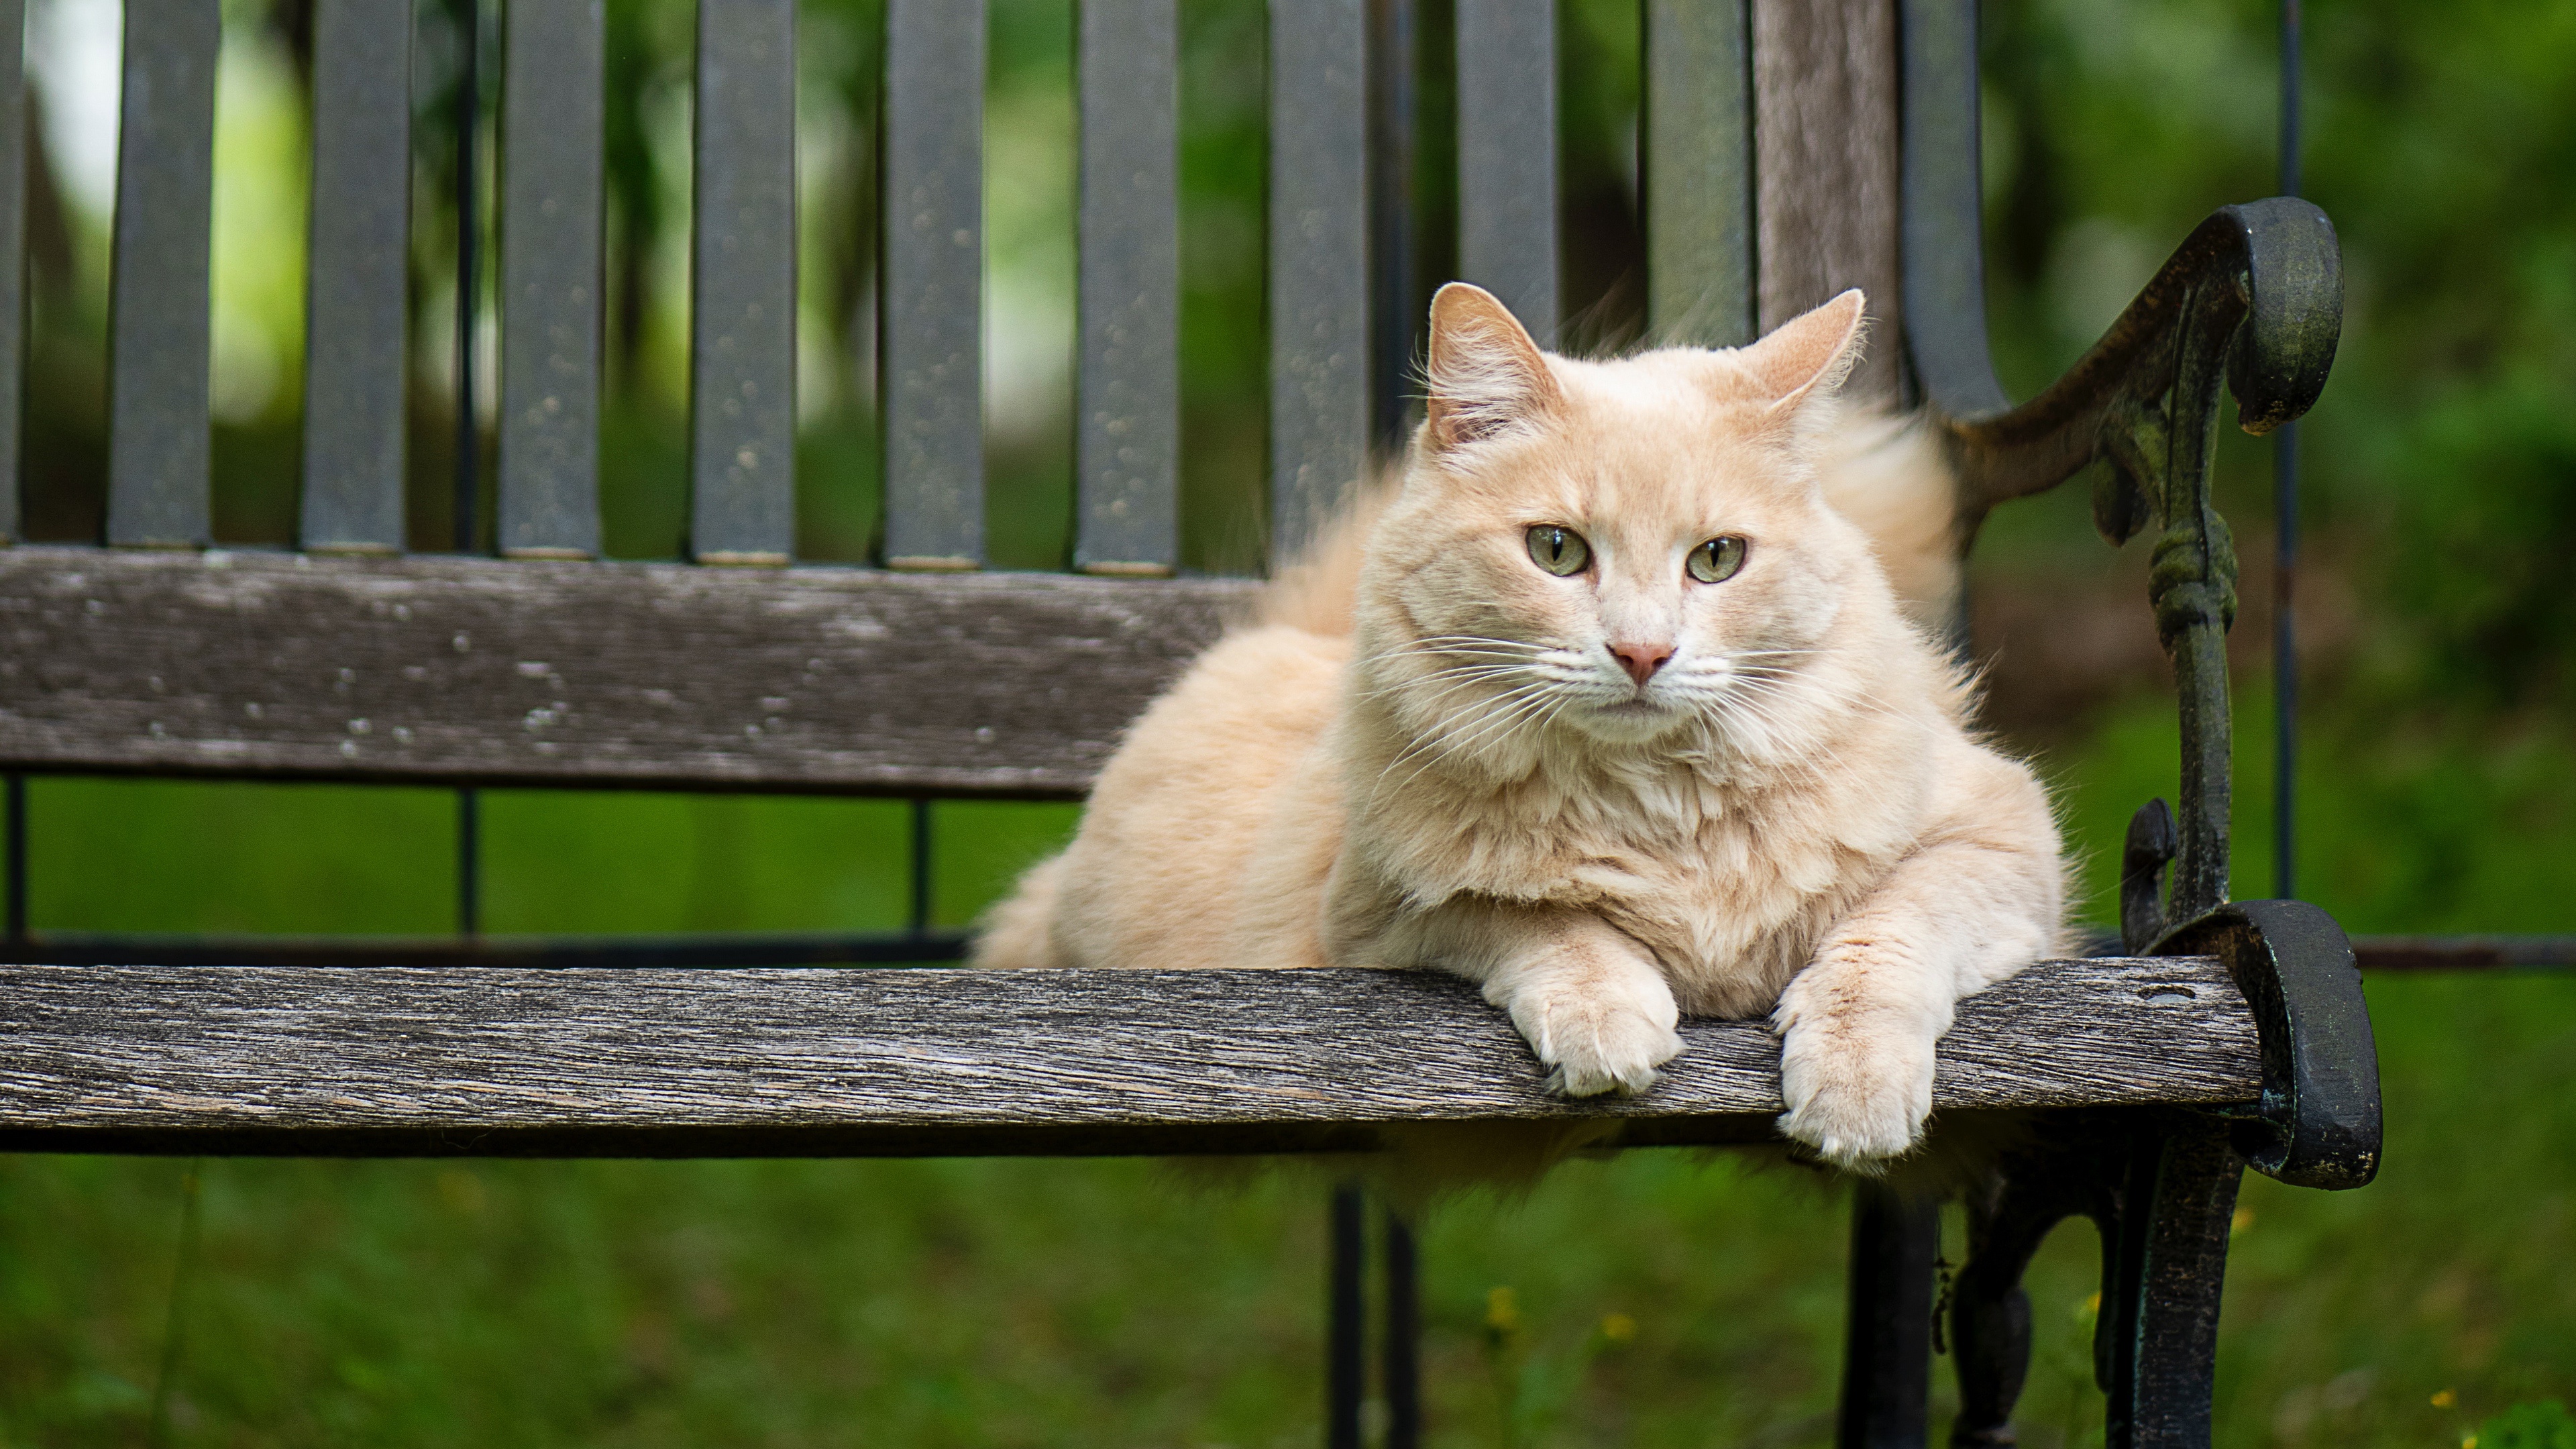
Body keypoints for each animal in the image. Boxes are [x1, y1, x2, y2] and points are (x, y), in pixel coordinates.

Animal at [968, 276, 2071, 1165]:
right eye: (1556, 550)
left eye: (1717, 559)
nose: (1641, 653)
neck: (1661, 812)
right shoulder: (1379, 915)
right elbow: (1543, 920)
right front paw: (1610, 1022)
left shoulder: (2002, 845)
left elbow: (1887, 939)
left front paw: (1854, 1091)